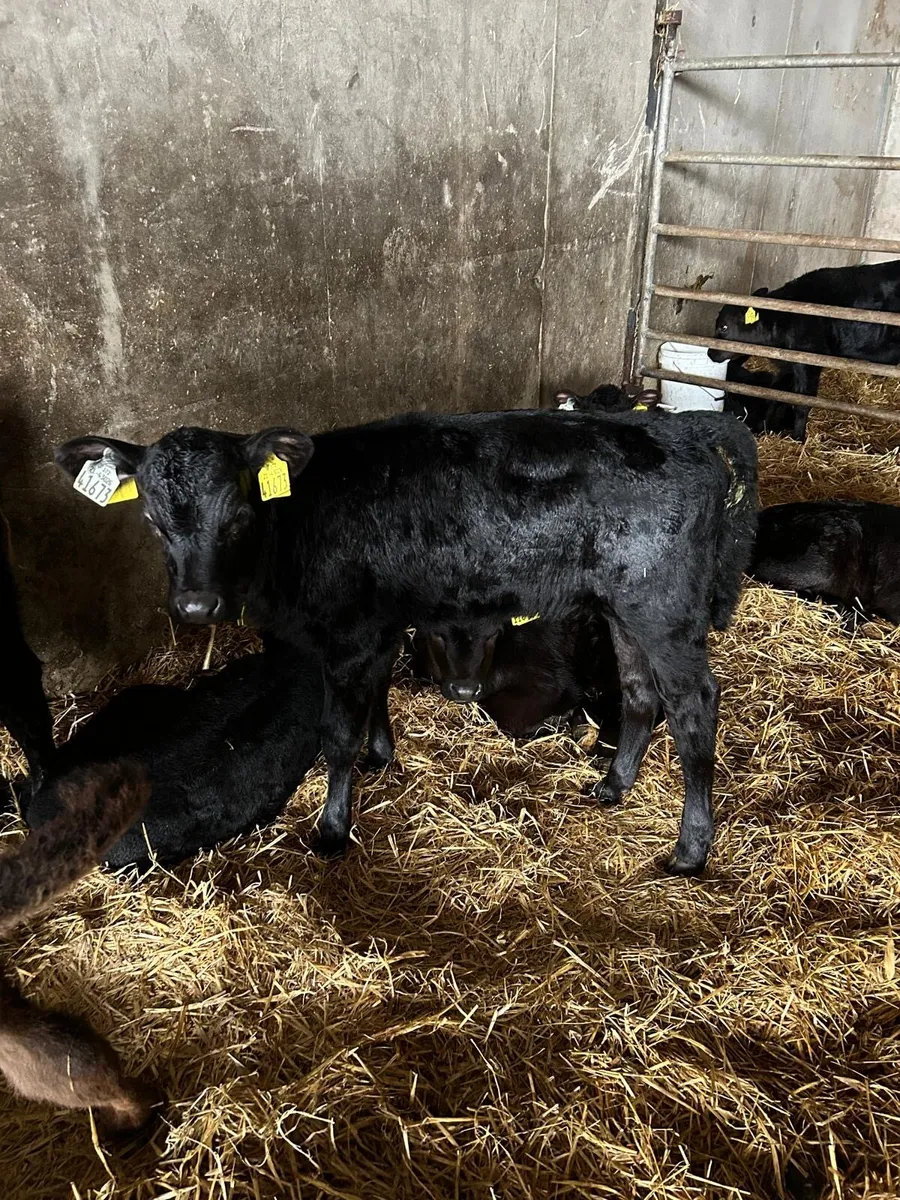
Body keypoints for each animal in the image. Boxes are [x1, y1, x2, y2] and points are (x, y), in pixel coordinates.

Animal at [56, 408, 757, 876]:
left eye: (238, 513)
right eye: (151, 517)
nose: (196, 605)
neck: (296, 523)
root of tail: (684, 429)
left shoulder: (346, 632)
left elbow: (337, 731)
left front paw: (333, 827)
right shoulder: (381, 621)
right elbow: (379, 692)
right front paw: (381, 754)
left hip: (664, 610)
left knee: (695, 707)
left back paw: (691, 848)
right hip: (624, 607)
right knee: (640, 694)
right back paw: (614, 785)